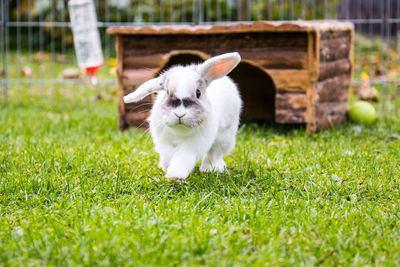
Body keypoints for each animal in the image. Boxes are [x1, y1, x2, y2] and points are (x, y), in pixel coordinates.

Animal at [123, 52, 242, 182]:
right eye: (167, 93)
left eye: (198, 93)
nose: (180, 114)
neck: (179, 130)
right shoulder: (164, 143)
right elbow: (167, 156)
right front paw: (165, 168)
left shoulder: (193, 145)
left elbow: (183, 158)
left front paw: (174, 176)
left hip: (224, 136)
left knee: (214, 153)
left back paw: (211, 169)